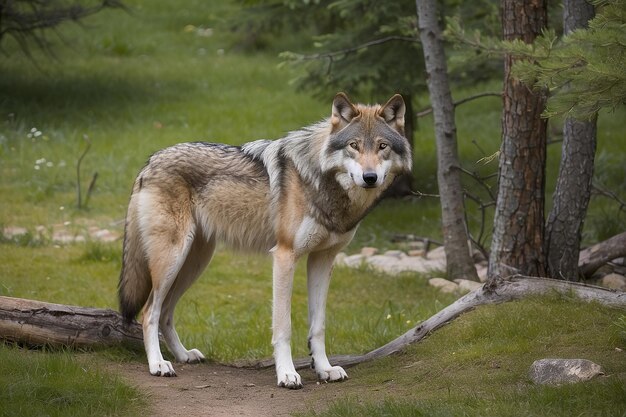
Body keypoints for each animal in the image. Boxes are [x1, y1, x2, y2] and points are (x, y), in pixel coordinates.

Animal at [118, 92, 410, 388]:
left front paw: (324, 369)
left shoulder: (322, 259)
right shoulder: (284, 256)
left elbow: (318, 326)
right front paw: (287, 374)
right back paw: (158, 364)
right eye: (354, 145)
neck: (321, 181)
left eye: (382, 146)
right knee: (149, 312)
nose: (370, 177)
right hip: (172, 260)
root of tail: (150, 161)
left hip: (193, 264)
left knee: (166, 313)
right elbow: (284, 326)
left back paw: (183, 355)